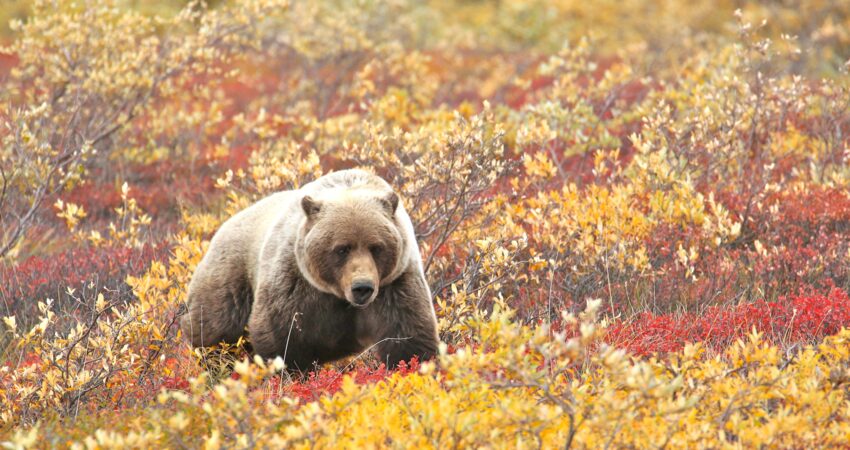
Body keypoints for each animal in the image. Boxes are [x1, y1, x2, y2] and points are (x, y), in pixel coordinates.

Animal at [179, 169, 438, 370]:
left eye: (376, 247)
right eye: (342, 248)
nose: (362, 287)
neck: (338, 296)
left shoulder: (394, 284)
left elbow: (408, 339)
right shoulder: (295, 286)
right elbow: (283, 340)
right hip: (229, 282)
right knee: (217, 334)